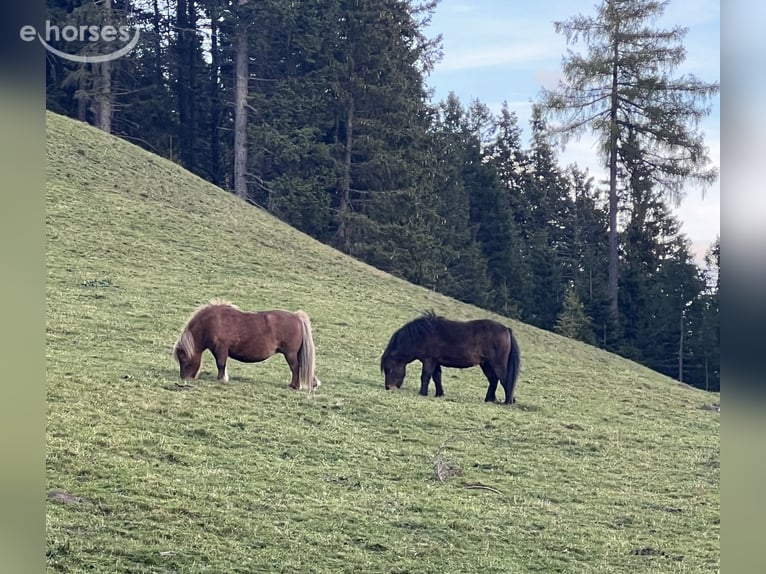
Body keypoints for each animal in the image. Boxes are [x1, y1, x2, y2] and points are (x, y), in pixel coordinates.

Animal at [173, 300, 320, 390]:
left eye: (183, 359)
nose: (183, 378)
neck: (212, 322)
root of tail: (296, 317)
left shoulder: (221, 349)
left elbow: (221, 364)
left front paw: (221, 379)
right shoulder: (217, 350)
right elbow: (221, 365)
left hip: (290, 354)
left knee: (295, 368)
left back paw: (294, 386)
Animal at [380, 311, 520, 404]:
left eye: (389, 369)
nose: (388, 387)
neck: (422, 335)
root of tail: (507, 329)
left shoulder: (429, 360)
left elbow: (425, 376)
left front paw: (422, 393)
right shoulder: (435, 362)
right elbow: (437, 377)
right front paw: (439, 394)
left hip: (497, 364)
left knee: (505, 380)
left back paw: (507, 402)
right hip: (485, 364)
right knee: (493, 380)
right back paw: (488, 399)